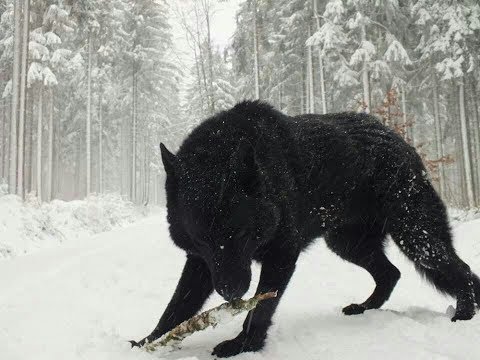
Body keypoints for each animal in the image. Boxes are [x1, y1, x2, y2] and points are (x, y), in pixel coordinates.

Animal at [131, 100, 480, 358]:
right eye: (202, 240)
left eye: (241, 234)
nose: (231, 293)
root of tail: (397, 139)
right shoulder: (202, 264)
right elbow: (176, 306)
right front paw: (149, 342)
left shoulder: (281, 256)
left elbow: (260, 309)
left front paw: (243, 345)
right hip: (347, 244)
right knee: (390, 274)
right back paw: (365, 308)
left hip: (417, 238)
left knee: (461, 269)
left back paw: (464, 314)